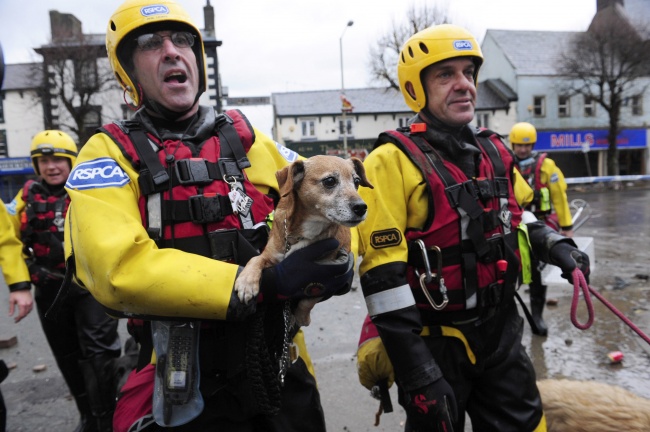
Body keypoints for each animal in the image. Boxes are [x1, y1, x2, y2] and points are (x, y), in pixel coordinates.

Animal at [235, 154, 372, 326]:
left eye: (357, 182)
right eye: (330, 181)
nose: (361, 207)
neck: (307, 230)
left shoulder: (330, 277)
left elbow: (310, 298)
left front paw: (301, 316)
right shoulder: (270, 255)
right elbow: (255, 259)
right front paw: (246, 282)